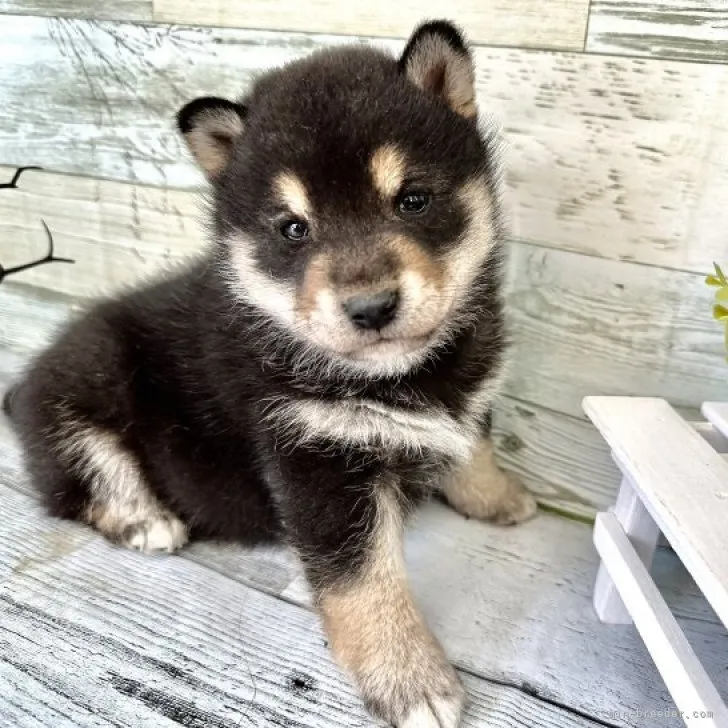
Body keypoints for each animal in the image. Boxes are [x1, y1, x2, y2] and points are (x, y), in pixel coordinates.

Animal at [2, 21, 536, 728]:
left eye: (413, 200)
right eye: (293, 230)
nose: (370, 307)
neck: (403, 375)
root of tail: (23, 385)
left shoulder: (466, 398)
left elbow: (474, 446)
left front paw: (498, 498)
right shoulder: (317, 461)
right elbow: (365, 584)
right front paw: (410, 681)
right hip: (87, 387)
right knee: (83, 479)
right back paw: (145, 520)